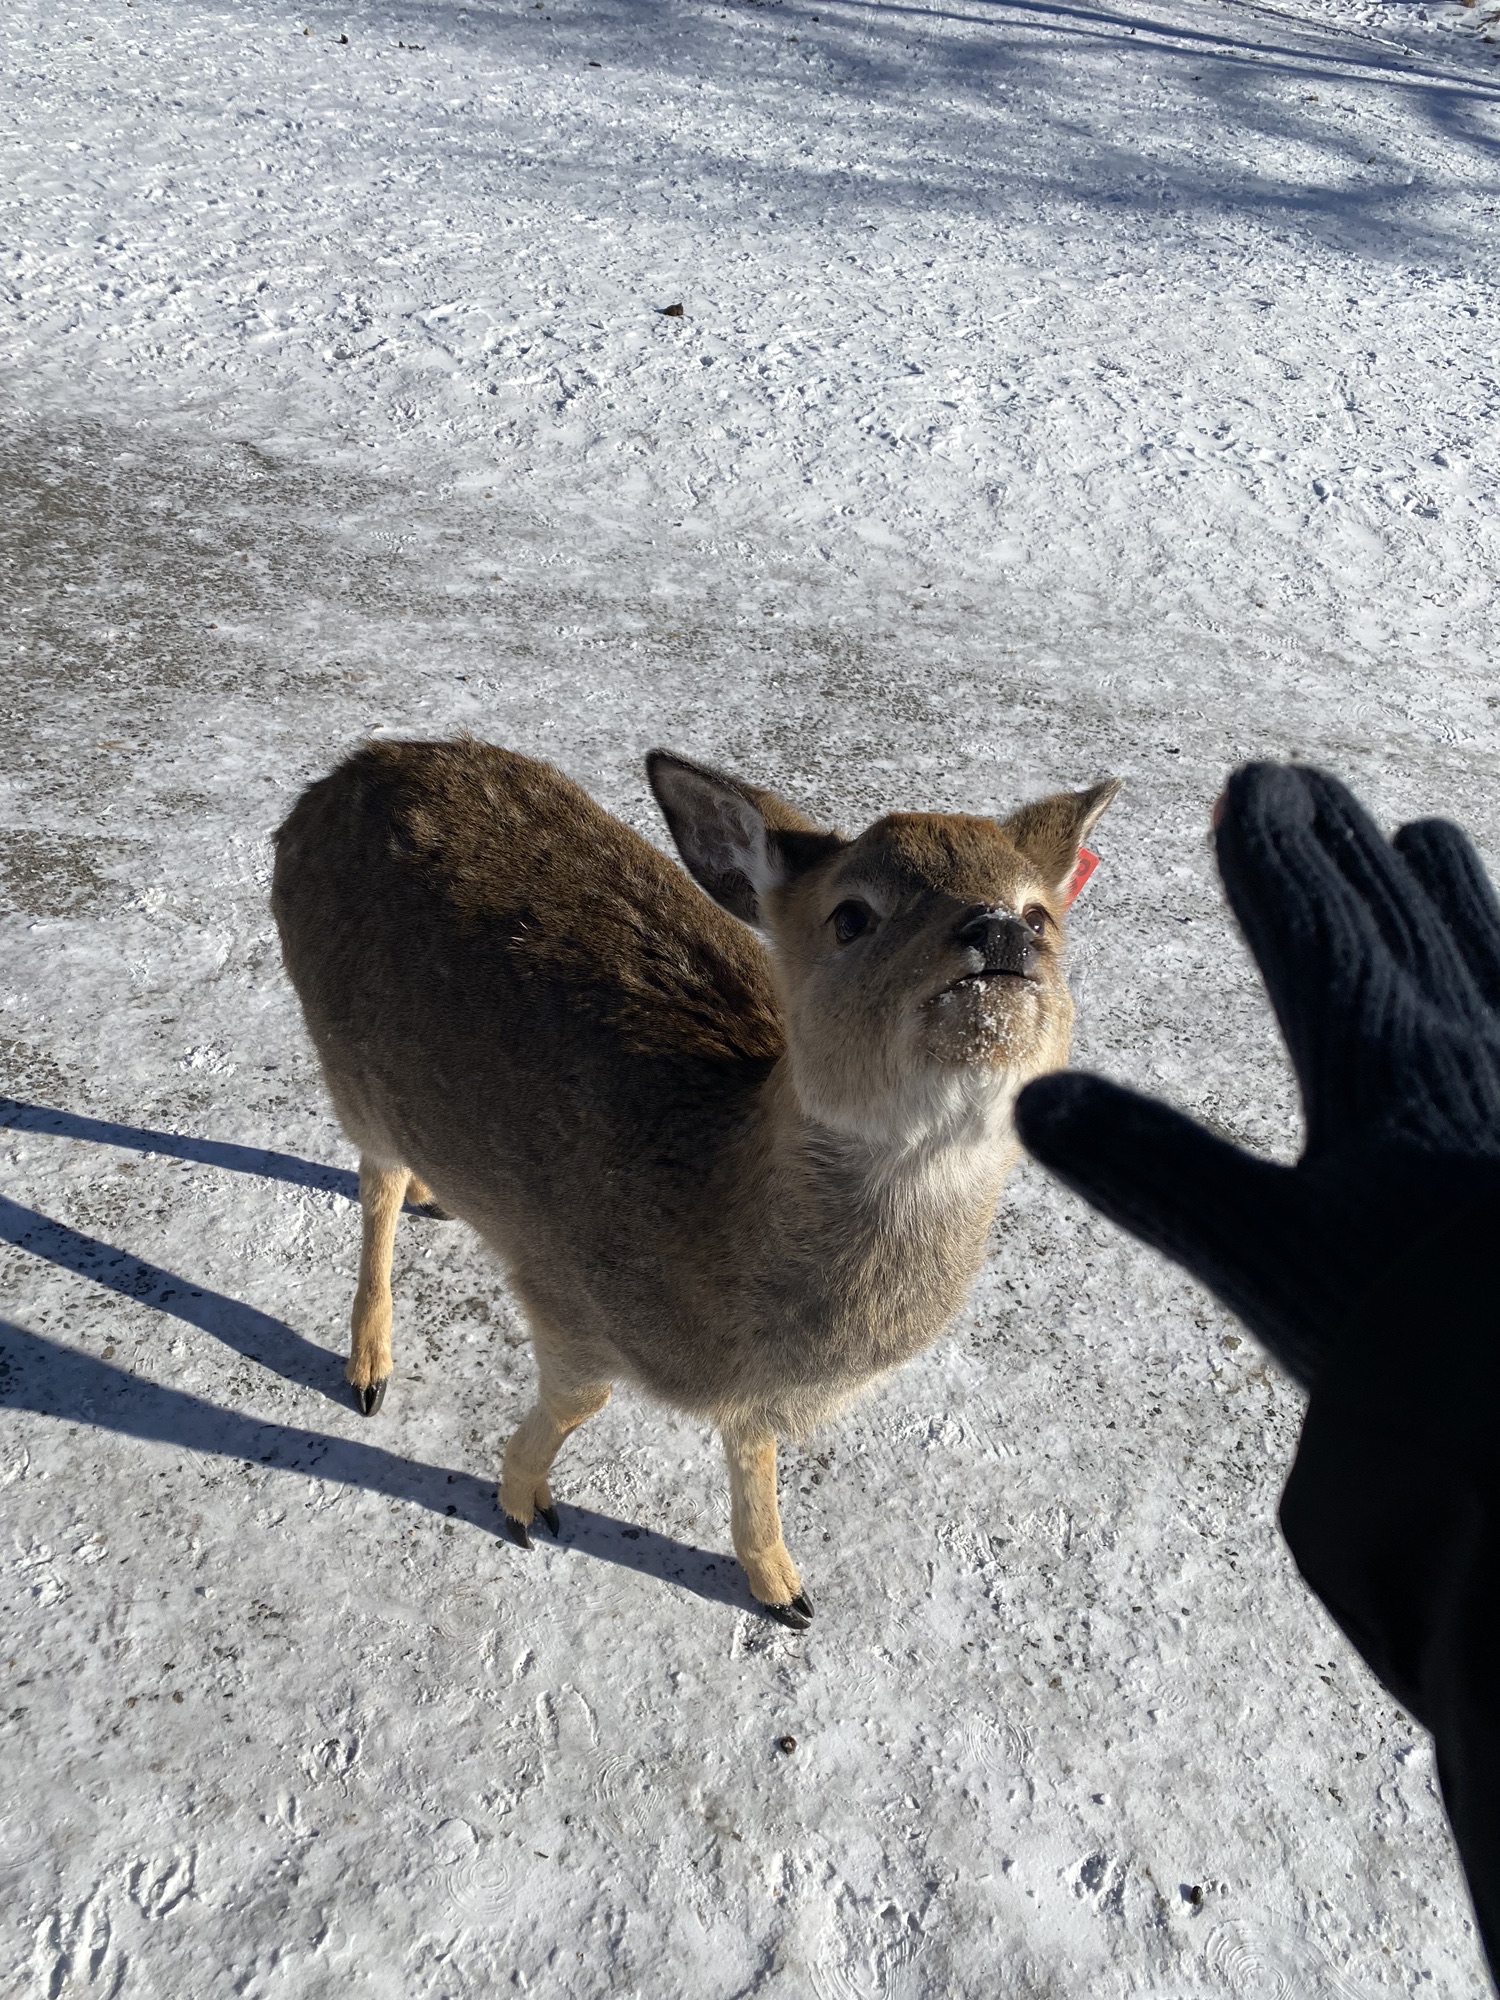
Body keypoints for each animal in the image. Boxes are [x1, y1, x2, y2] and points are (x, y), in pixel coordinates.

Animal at [271, 740, 1119, 1627]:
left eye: (1040, 914)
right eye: (852, 915)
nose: (998, 931)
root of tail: (325, 787)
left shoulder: (748, 1394)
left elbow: (752, 1444)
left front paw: (781, 1587)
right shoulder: (565, 1290)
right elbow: (583, 1401)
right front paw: (520, 1504)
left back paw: (433, 1199)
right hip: (346, 1066)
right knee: (373, 1179)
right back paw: (370, 1367)